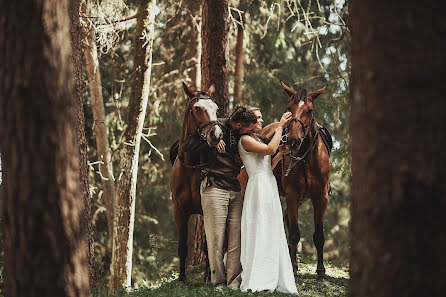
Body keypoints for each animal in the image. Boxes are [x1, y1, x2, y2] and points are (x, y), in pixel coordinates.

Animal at [170, 82, 222, 280]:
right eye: (197, 108)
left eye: (216, 108)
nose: (216, 135)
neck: (190, 167)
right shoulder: (179, 211)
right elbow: (182, 246)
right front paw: (182, 278)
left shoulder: (207, 209)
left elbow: (209, 245)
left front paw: (208, 276)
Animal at [239, 80, 330, 278]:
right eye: (289, 108)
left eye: (309, 110)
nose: (293, 141)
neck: (305, 158)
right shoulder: (292, 195)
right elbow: (295, 233)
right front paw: (294, 267)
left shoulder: (321, 198)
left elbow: (319, 235)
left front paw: (320, 271)